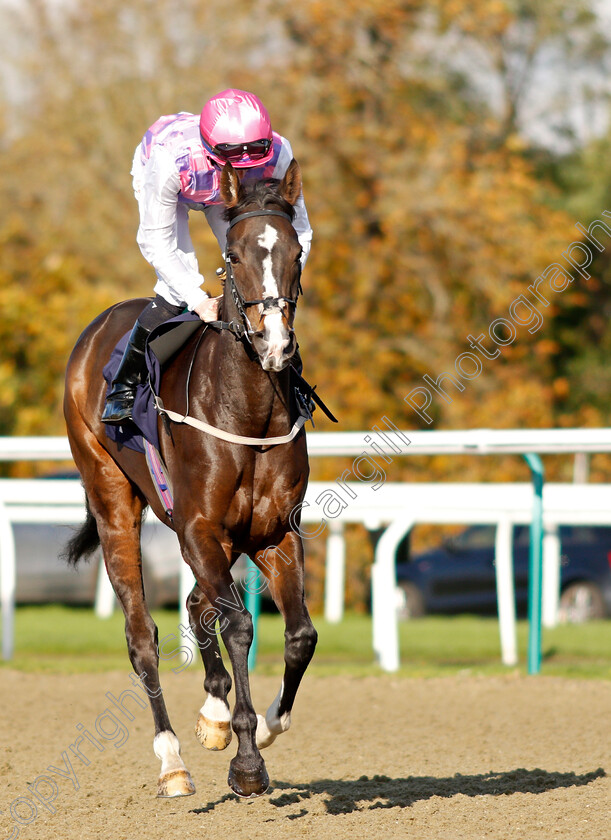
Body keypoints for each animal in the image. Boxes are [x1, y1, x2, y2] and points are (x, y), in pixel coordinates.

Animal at [62, 161, 318, 796]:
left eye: (297, 251)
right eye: (232, 254)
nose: (275, 344)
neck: (248, 410)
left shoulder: (274, 532)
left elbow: (299, 634)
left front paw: (264, 726)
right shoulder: (199, 526)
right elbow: (239, 625)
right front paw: (248, 762)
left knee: (198, 602)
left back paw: (214, 714)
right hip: (115, 503)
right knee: (142, 636)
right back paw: (173, 761)